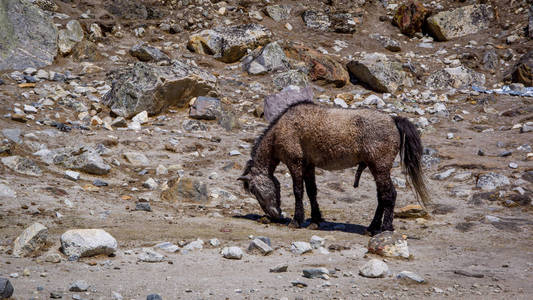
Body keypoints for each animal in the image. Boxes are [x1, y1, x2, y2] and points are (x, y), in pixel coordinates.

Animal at [239, 101, 430, 234]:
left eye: (254, 190)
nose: (274, 215)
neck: (281, 129)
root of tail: (393, 120)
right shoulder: (309, 166)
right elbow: (312, 191)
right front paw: (316, 220)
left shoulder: (296, 164)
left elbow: (298, 191)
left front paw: (296, 220)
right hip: (376, 169)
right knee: (381, 197)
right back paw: (371, 227)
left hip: (380, 168)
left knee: (389, 195)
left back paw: (386, 228)